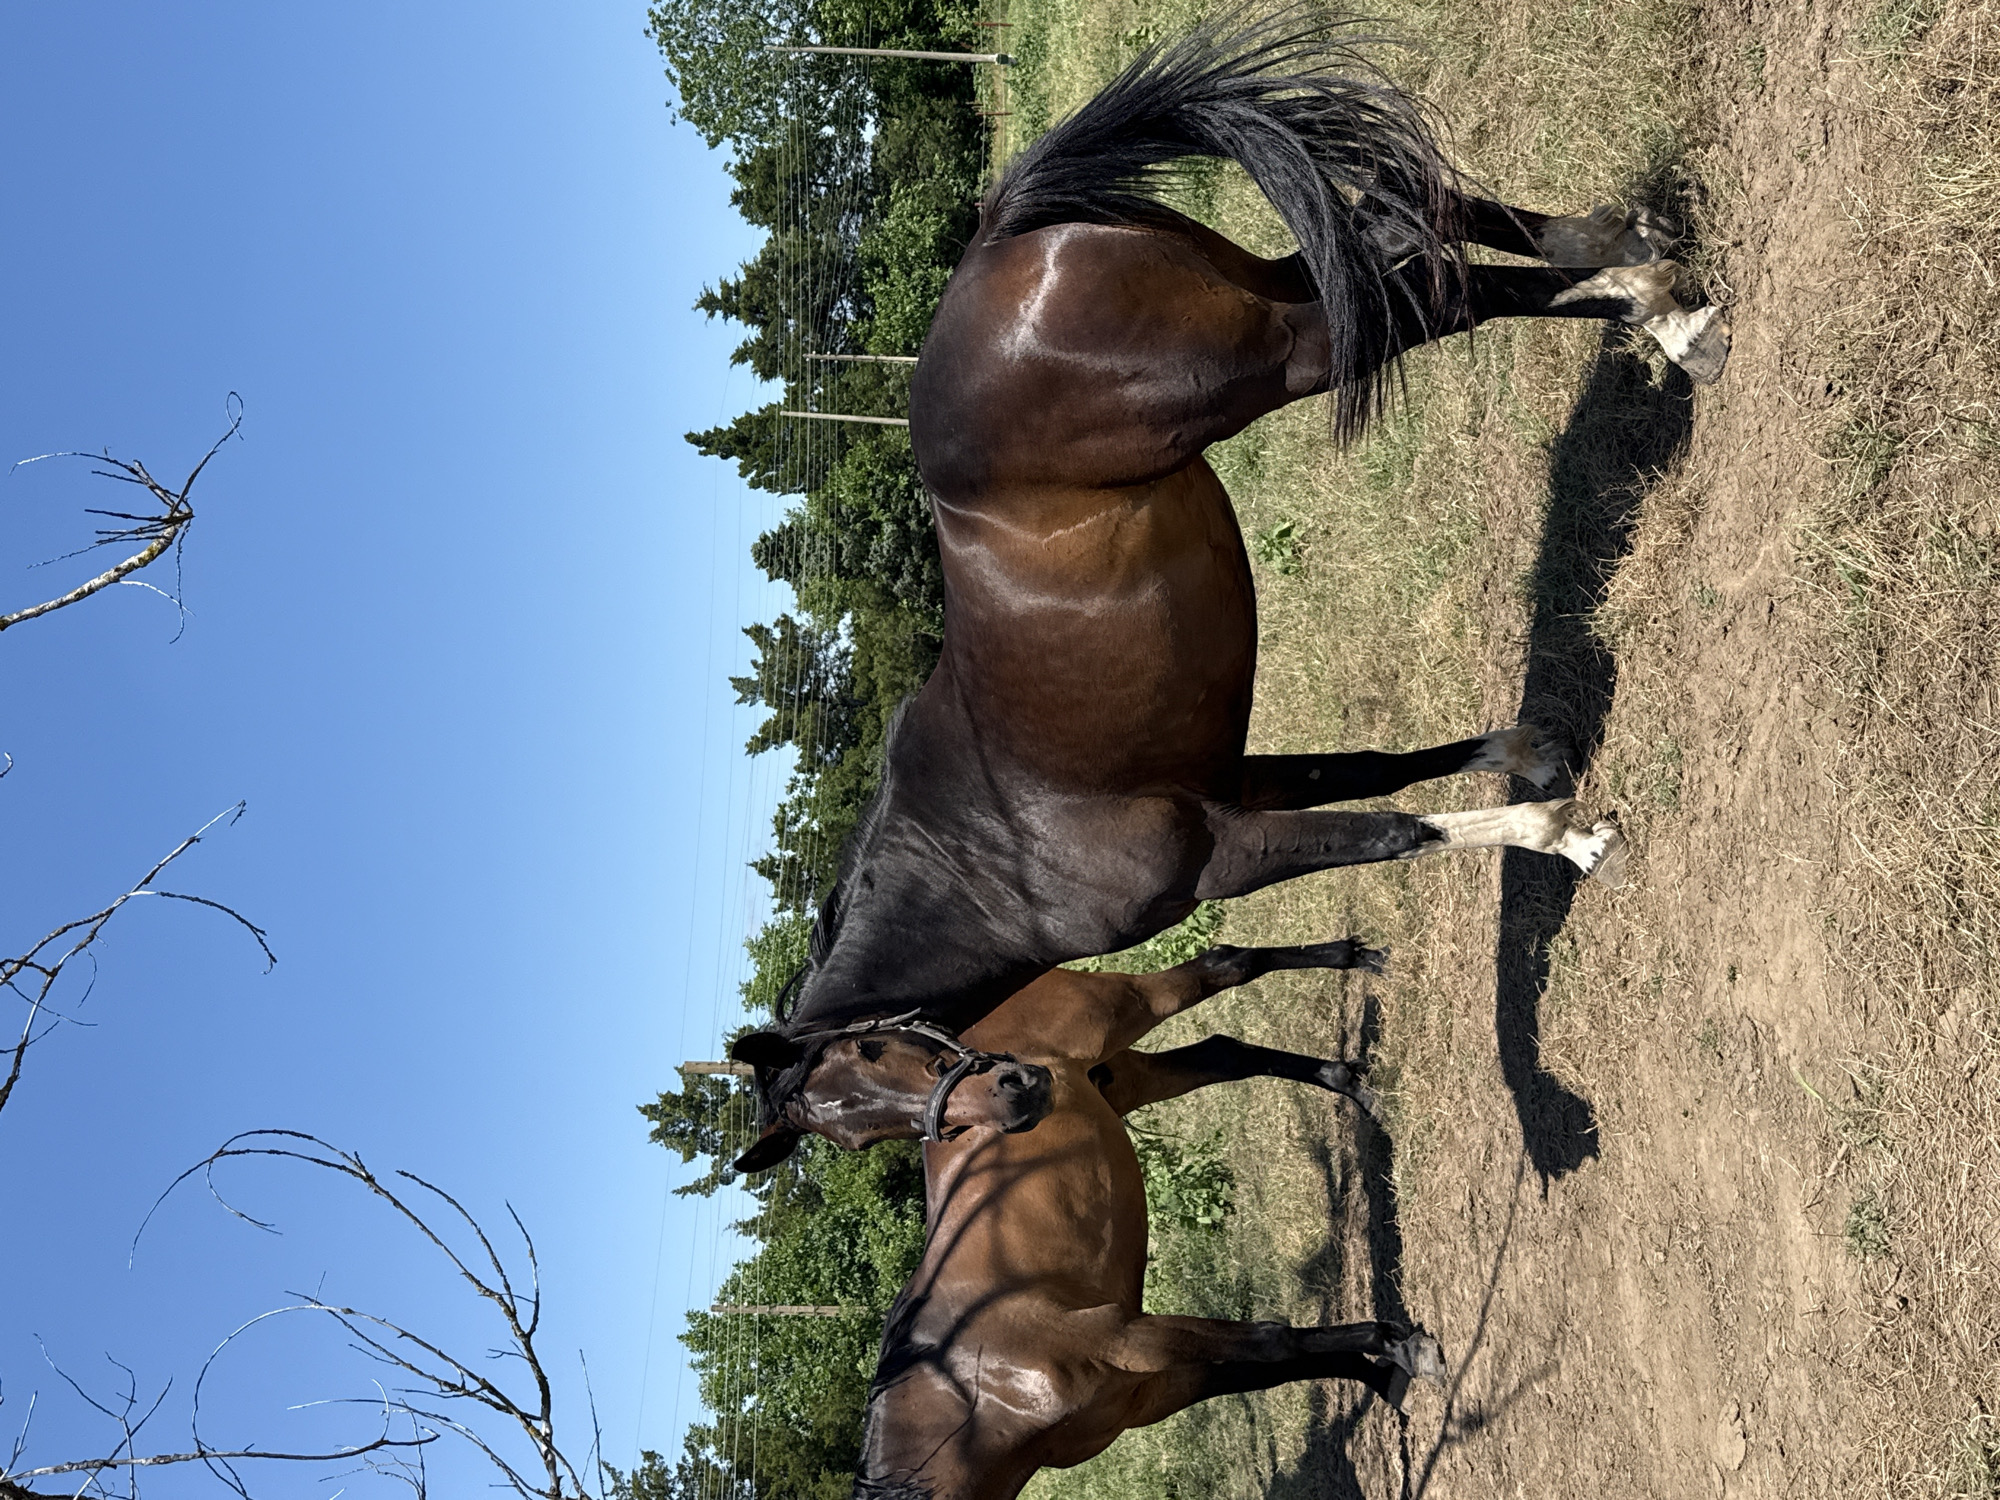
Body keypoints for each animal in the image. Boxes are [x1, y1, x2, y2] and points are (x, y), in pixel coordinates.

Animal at [729, 8, 1730, 1168]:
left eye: (874, 1062)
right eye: (855, 1132)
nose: (1018, 1098)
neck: (980, 861)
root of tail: (993, 240)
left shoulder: (1222, 859)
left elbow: (1393, 833)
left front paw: (1561, 835)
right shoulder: (1242, 784)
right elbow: (1377, 771)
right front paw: (1525, 756)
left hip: (1281, 353)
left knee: (1431, 286)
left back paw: (1667, 316)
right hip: (1266, 289)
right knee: (1399, 224)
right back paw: (1625, 250)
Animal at [847, 938, 1442, 1500]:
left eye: (871, 1050)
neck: (972, 1394)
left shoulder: (1130, 1338)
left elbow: (1273, 1342)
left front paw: (1402, 1346)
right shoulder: (1151, 1388)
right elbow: (1271, 1367)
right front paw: (1387, 1372)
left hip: (1121, 1013)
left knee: (1223, 965)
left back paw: (1362, 963)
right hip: (1120, 1076)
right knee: (1223, 1053)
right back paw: (1356, 1083)